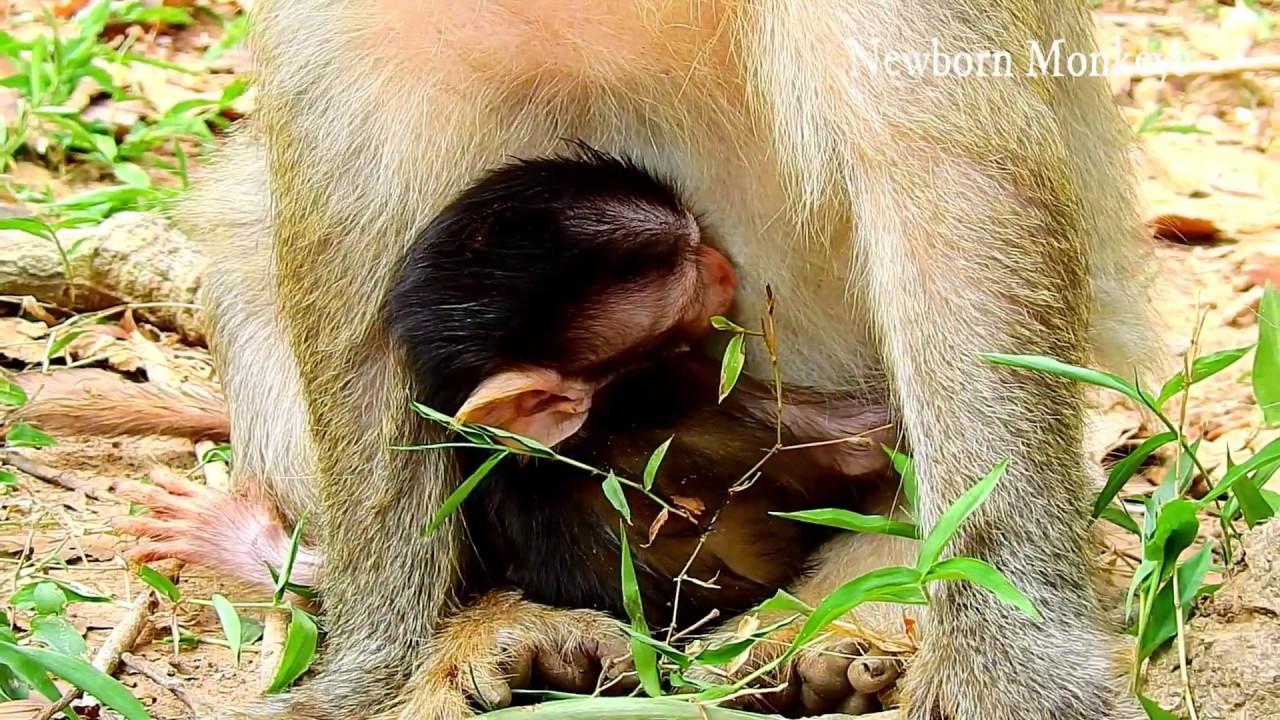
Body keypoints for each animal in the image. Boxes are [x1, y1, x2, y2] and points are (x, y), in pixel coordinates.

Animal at [171, 2, 1161, 718]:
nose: (713, 270)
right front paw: (380, 668)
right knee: (248, 236)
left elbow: (950, 191)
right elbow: (351, 226)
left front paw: (1016, 667)